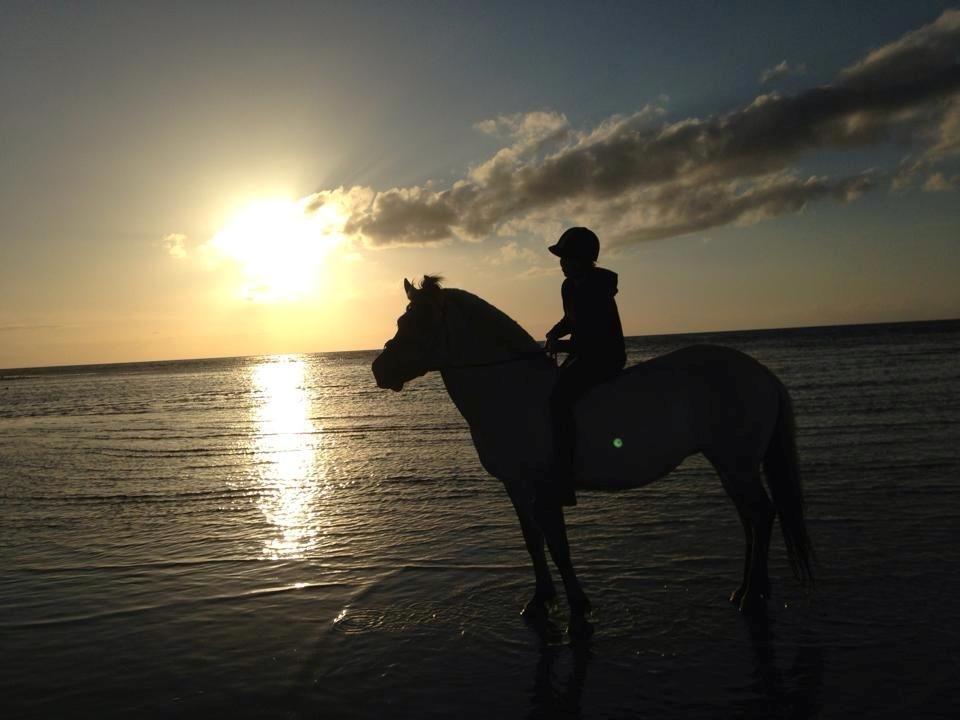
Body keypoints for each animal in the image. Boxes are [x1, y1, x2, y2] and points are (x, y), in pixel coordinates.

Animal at [372, 272, 812, 632]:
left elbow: (558, 545)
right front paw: (540, 601)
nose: (379, 369)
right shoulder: (515, 485)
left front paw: (578, 609)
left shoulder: (543, 486)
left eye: (418, 323)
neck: (512, 392)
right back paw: (746, 590)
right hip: (729, 464)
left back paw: (752, 595)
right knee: (751, 518)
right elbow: (533, 541)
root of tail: (761, 373)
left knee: (761, 515)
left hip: (737, 463)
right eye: (401, 322)